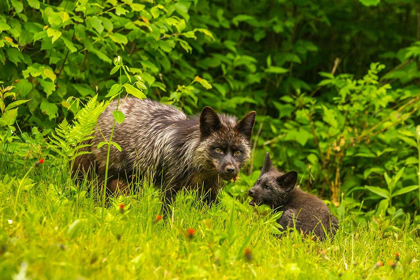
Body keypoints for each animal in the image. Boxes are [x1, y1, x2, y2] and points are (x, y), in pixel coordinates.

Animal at [73, 97, 256, 205]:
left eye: (237, 152)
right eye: (217, 149)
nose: (231, 169)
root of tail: (105, 109)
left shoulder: (209, 193)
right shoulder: (169, 188)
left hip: (133, 181)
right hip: (108, 175)